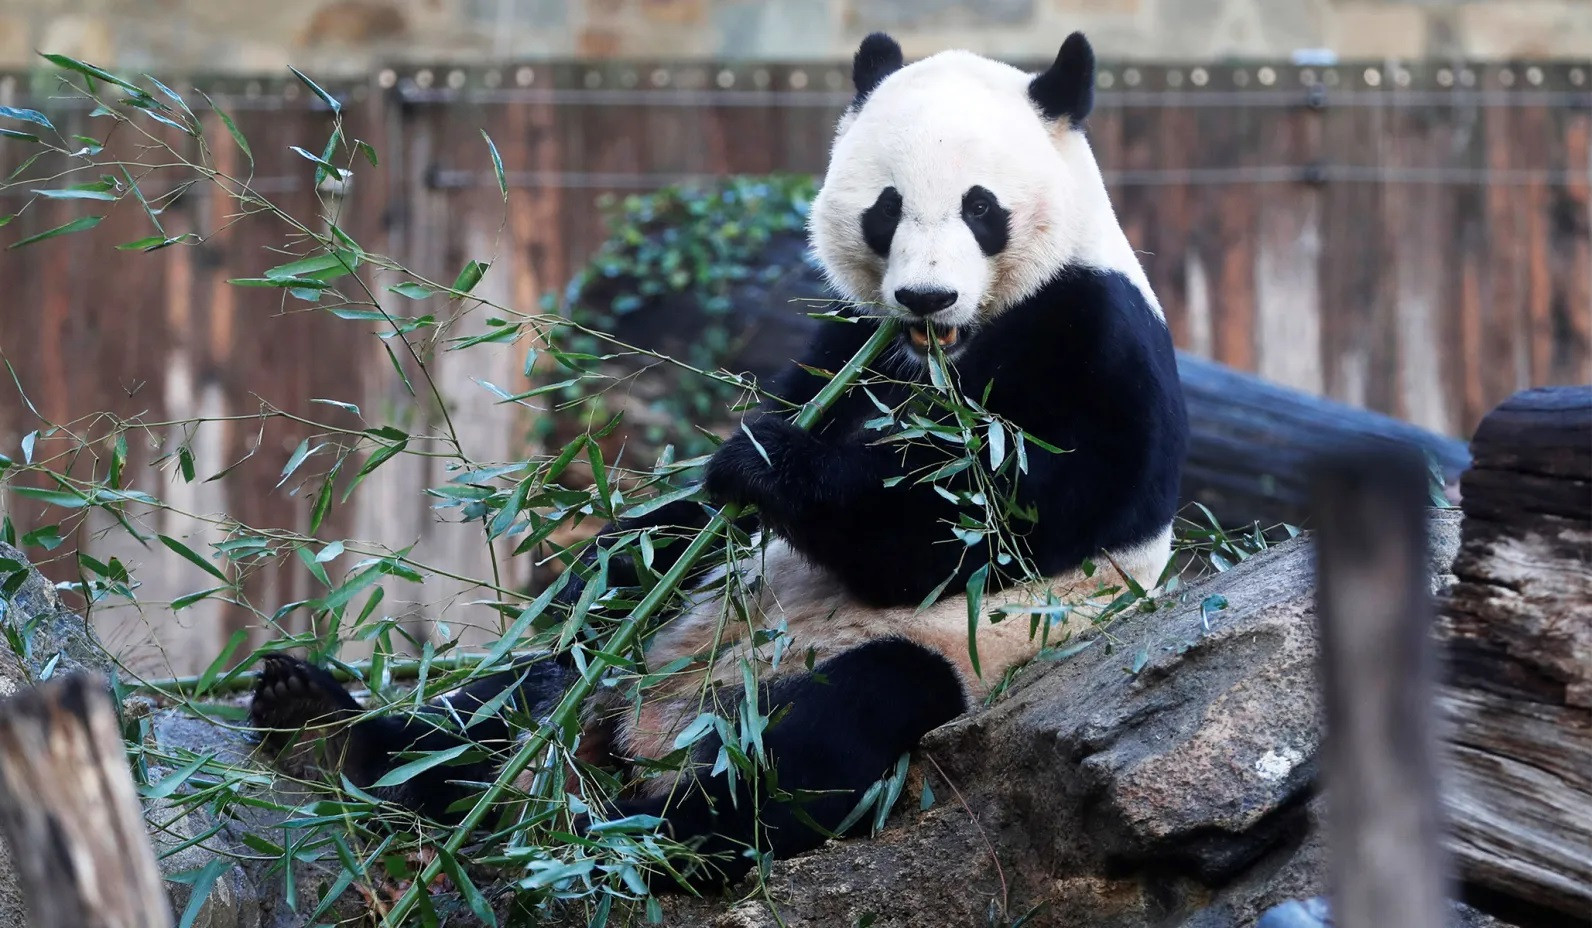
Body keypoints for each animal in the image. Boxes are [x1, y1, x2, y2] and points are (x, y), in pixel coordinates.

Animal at [249, 29, 1188, 894]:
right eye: (886, 209)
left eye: (981, 208)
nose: (926, 297)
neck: (940, 356)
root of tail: (660, 733)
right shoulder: (848, 341)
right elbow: (672, 525)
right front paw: (642, 531)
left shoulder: (1093, 342)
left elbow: (988, 527)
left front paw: (769, 465)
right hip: (643, 645)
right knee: (521, 692)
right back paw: (333, 733)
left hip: (948, 660)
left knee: (824, 739)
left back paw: (631, 835)